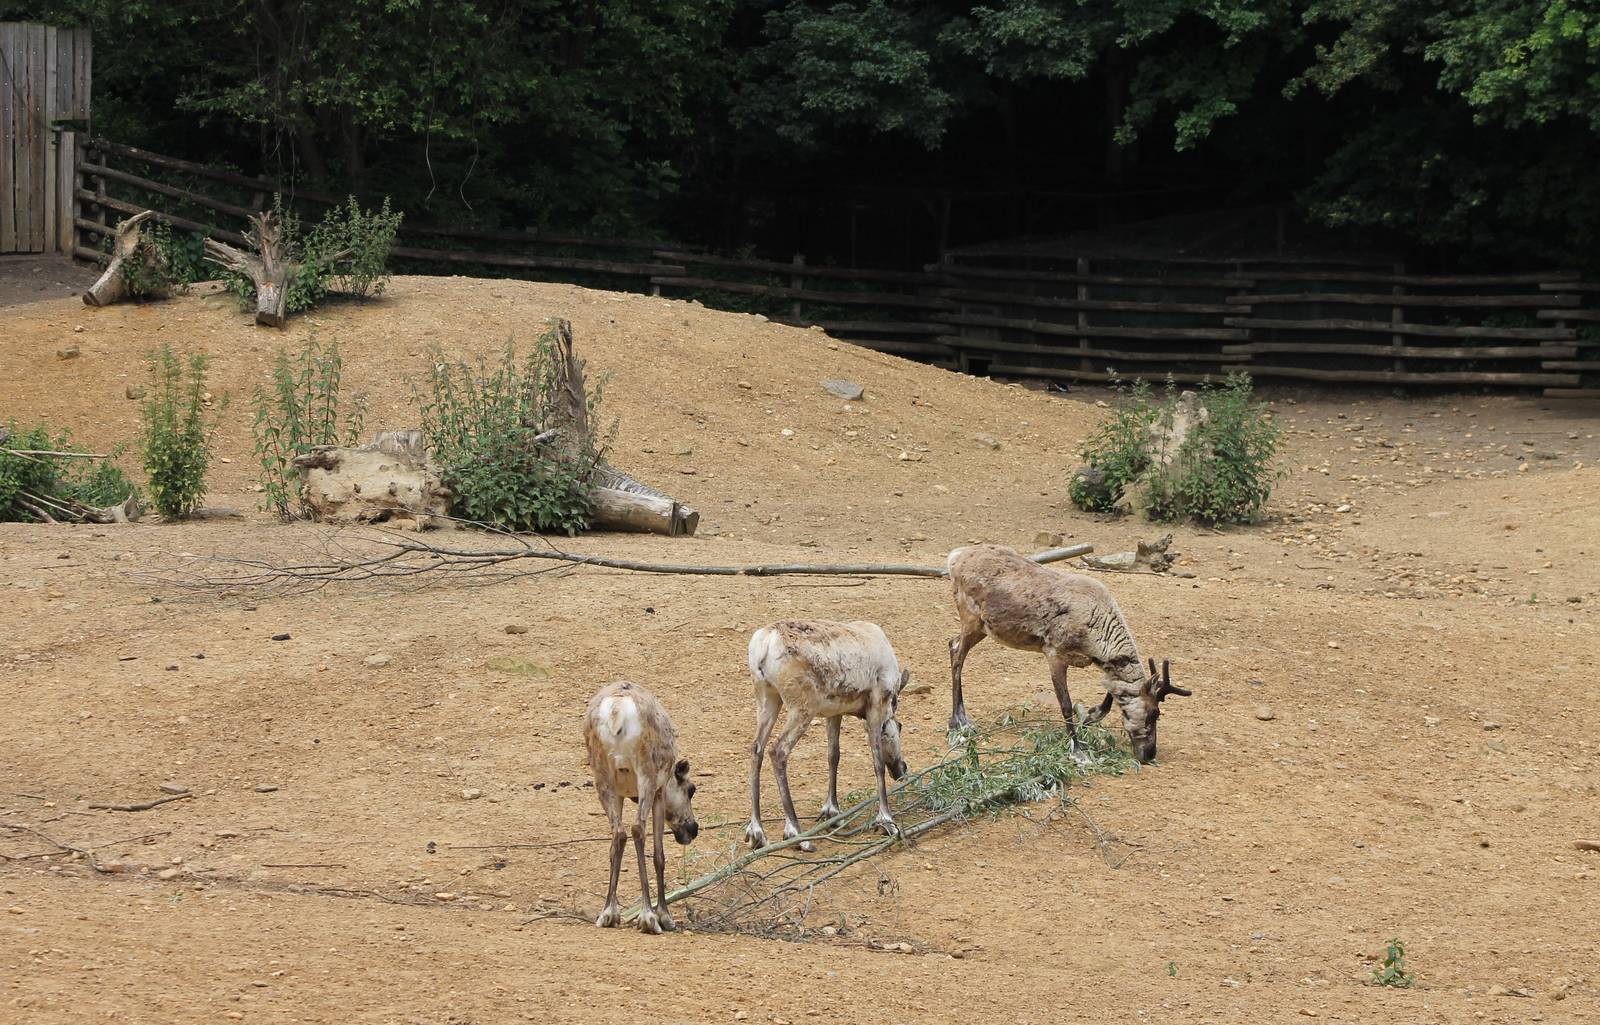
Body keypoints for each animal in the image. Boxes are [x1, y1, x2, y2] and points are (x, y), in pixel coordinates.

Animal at [583, 681, 700, 934]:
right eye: (691, 789)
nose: (693, 829)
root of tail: (617, 710)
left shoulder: (620, 793)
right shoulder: (659, 791)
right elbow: (659, 854)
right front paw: (664, 916)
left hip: (602, 777)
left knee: (618, 832)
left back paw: (607, 913)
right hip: (646, 773)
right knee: (637, 828)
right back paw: (648, 917)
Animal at [745, 620, 911, 852]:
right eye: (900, 727)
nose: (902, 769)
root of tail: (764, 645)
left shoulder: (834, 712)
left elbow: (833, 755)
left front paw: (832, 811)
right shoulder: (876, 702)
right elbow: (877, 762)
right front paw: (886, 820)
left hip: (766, 697)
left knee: (756, 749)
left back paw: (757, 832)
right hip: (802, 707)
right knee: (778, 751)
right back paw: (796, 834)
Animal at [946, 543, 1191, 763]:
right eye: (1154, 713)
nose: (1150, 753)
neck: (1098, 632)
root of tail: (955, 557)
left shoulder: (1098, 661)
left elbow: (1111, 688)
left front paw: (1091, 716)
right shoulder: (1054, 653)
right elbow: (1065, 704)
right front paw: (1078, 751)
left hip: (982, 628)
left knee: (952, 643)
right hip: (971, 618)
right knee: (957, 653)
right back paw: (959, 722)